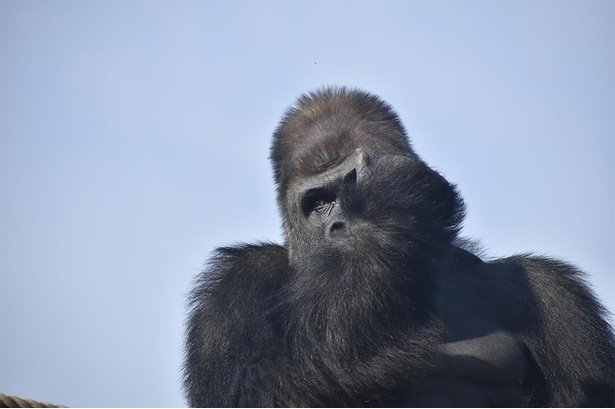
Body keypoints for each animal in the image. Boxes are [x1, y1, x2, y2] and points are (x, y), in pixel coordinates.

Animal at [184, 87, 615, 406]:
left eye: (351, 183)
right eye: (318, 204)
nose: (339, 227)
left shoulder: (551, 291)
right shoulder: (234, 289)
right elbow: (268, 391)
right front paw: (387, 209)